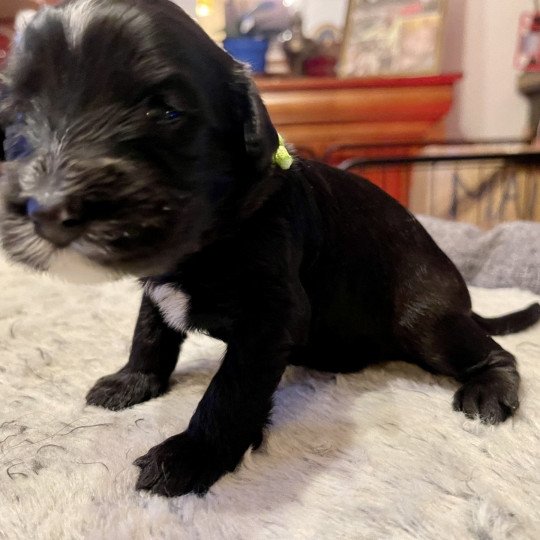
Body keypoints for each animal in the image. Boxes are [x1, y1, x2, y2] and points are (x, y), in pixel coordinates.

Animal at [1, 0, 540, 498]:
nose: (46, 209)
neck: (212, 236)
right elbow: (149, 333)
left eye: (165, 112)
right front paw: (130, 381)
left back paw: (489, 391)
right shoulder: (158, 288)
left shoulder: (269, 318)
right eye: (20, 116)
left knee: (496, 352)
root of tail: (462, 303)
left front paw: (191, 456)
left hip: (425, 320)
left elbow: (229, 392)